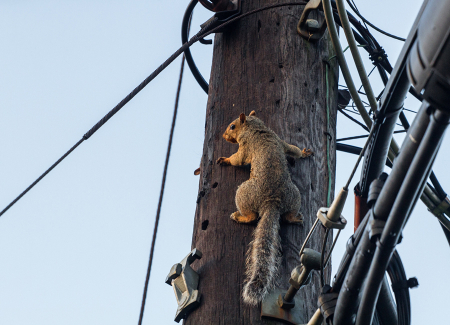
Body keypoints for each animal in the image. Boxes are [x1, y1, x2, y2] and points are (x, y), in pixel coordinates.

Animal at [217, 110, 312, 304]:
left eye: (232, 126)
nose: (223, 136)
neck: (257, 128)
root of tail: (272, 201)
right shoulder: (280, 140)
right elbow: (292, 149)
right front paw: (305, 152)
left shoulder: (245, 145)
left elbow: (237, 159)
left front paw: (225, 159)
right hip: (294, 195)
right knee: (288, 215)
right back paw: (295, 218)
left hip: (243, 192)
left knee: (251, 216)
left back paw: (239, 216)